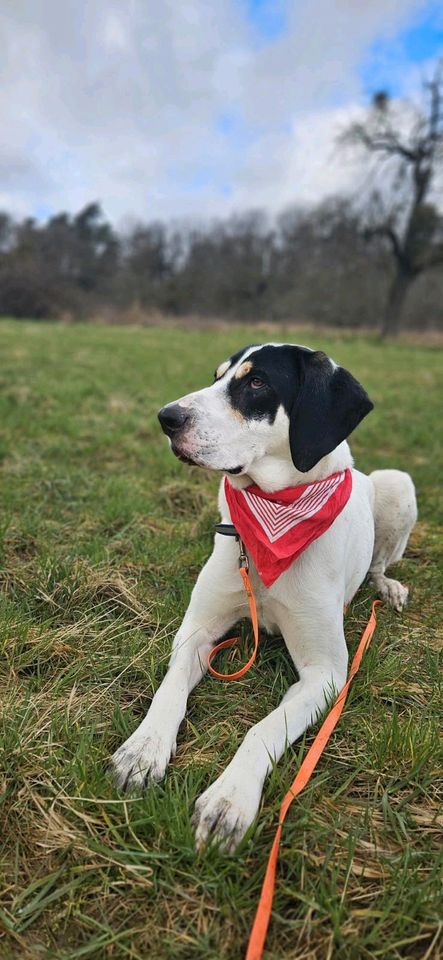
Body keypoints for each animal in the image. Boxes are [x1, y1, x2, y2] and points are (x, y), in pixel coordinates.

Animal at [110, 342, 416, 852]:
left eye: (256, 383)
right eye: (217, 376)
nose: (166, 417)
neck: (273, 515)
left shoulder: (327, 674)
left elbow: (264, 727)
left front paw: (228, 800)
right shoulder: (195, 632)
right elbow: (169, 692)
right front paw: (142, 750)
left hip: (399, 483)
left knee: (378, 563)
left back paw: (387, 588)